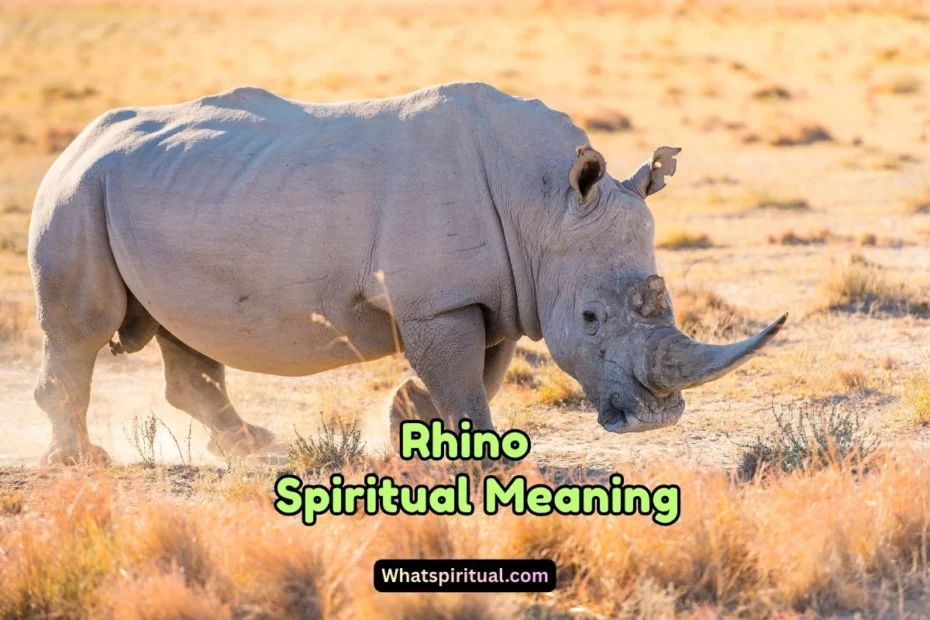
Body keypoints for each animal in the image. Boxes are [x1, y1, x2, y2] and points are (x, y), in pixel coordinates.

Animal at [28, 82, 786, 465]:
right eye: (592, 319)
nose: (655, 421)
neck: (545, 205)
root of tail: (78, 141)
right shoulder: (439, 302)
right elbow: (465, 384)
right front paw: (488, 467)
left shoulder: (490, 296)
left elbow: (476, 375)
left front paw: (406, 430)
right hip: (78, 191)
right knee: (83, 330)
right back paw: (82, 462)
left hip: (151, 193)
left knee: (184, 331)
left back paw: (252, 447)